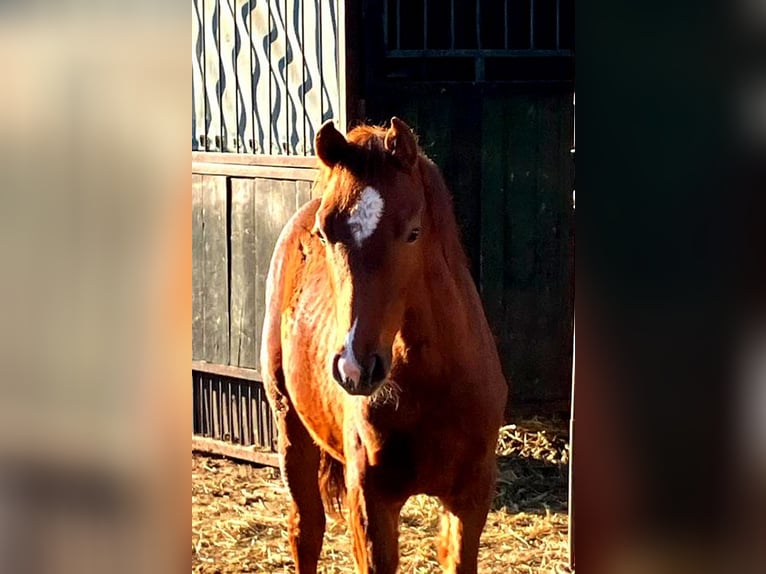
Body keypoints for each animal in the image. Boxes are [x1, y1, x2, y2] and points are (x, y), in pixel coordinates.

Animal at [260, 117, 508, 573]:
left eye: (413, 232)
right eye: (325, 233)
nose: (355, 369)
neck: (434, 387)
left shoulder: (470, 499)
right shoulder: (370, 502)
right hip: (290, 428)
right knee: (306, 530)